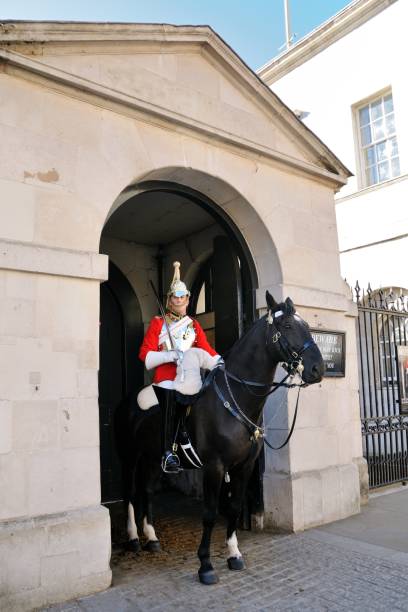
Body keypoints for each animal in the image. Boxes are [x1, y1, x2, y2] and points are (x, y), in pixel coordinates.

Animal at [115, 292, 326, 584]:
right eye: (287, 326)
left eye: (306, 323)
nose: (318, 369)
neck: (236, 397)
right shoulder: (214, 467)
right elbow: (210, 512)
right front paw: (205, 564)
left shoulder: (244, 467)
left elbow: (235, 507)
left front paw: (234, 554)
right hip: (130, 457)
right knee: (130, 493)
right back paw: (134, 538)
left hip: (152, 458)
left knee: (146, 491)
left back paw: (152, 537)